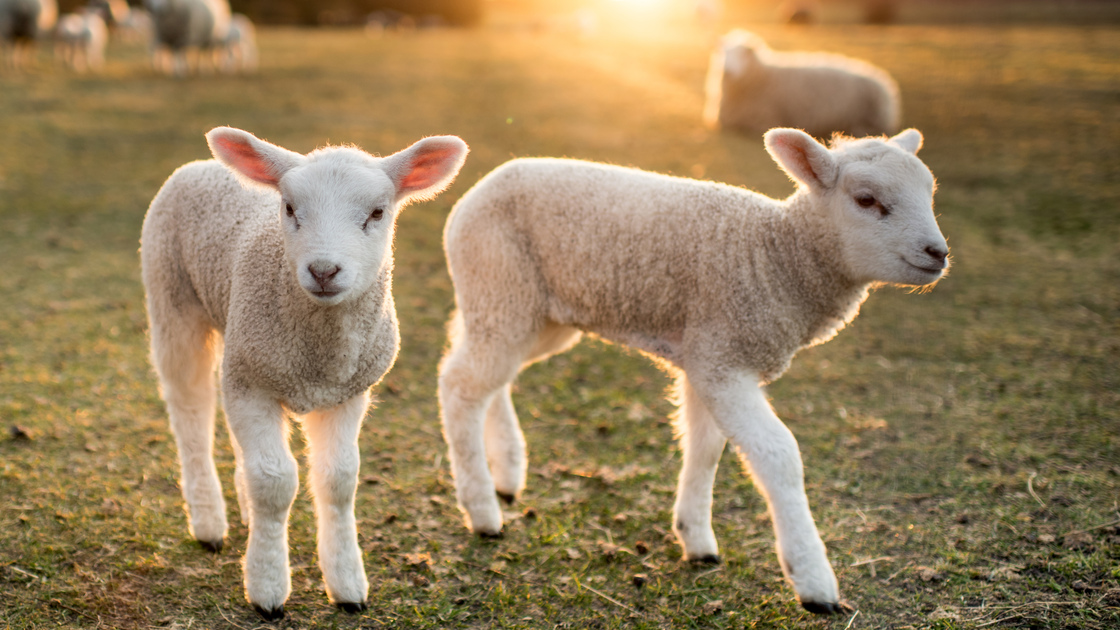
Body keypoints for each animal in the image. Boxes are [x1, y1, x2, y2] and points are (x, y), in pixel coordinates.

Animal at [143, 124, 468, 614]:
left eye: (377, 212)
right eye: (290, 209)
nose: (324, 270)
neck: (319, 357)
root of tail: (201, 165)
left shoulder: (346, 392)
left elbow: (338, 480)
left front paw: (348, 584)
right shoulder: (253, 383)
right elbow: (275, 482)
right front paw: (267, 587)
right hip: (173, 301)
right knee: (191, 414)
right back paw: (208, 522)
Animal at [436, 127, 945, 614]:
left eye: (929, 192)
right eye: (866, 200)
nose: (937, 252)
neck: (776, 255)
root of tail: (483, 185)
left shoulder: (707, 357)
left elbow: (705, 447)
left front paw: (696, 538)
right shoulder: (723, 360)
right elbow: (778, 455)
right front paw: (813, 581)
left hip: (533, 313)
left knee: (490, 376)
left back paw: (506, 473)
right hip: (500, 284)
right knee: (461, 384)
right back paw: (482, 511)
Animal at [703, 29, 904, 138]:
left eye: (742, 54)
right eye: (722, 53)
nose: (727, 70)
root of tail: (884, 82)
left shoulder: (764, 120)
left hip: (870, 118)